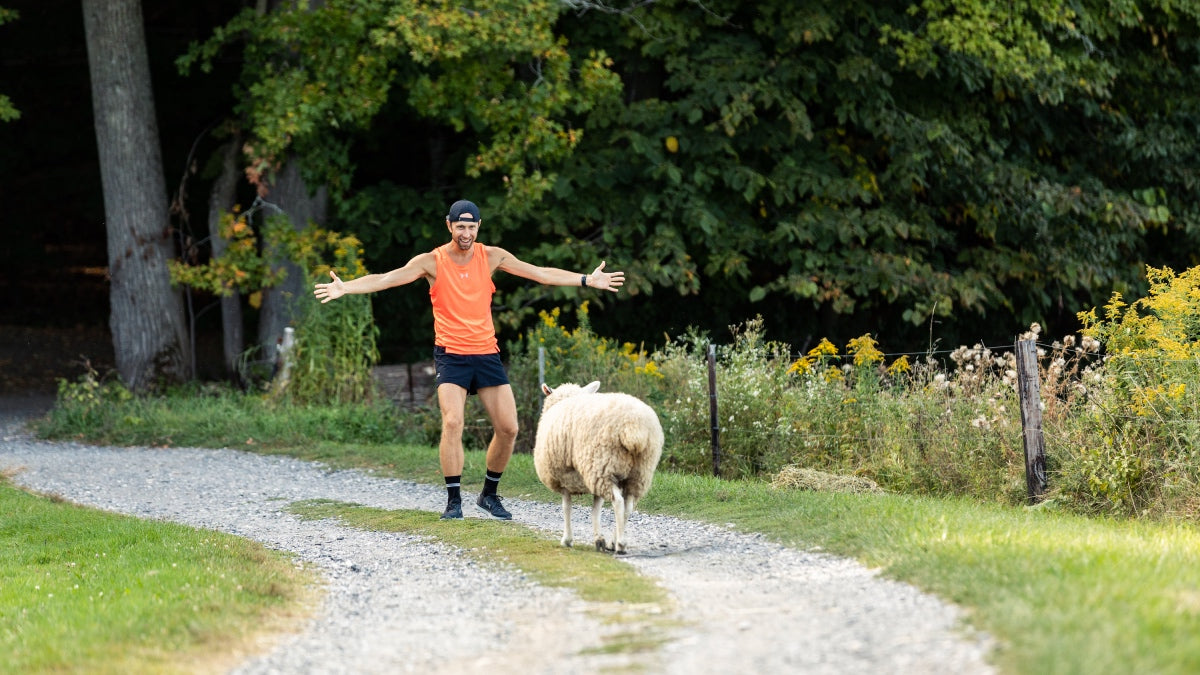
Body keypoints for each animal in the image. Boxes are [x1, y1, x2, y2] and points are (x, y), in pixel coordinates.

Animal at [535, 379, 667, 552]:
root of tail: (634, 428)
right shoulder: (590, 480)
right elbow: (595, 510)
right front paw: (599, 539)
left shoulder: (564, 477)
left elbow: (566, 507)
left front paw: (567, 540)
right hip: (638, 473)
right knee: (628, 506)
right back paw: (614, 541)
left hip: (602, 466)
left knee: (618, 503)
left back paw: (620, 544)